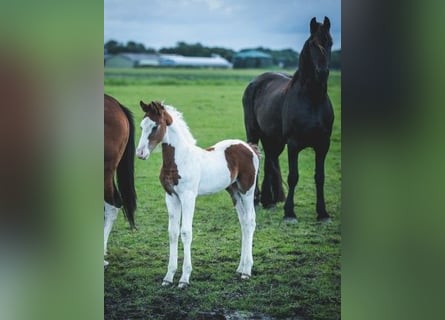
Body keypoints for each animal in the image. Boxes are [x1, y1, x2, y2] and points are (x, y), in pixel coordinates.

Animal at [137, 100, 258, 288]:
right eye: (142, 126)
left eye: (155, 126)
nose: (140, 153)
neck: (179, 159)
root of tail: (249, 147)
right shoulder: (171, 197)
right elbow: (172, 233)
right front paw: (168, 277)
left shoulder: (188, 197)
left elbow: (186, 232)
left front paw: (184, 279)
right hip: (234, 192)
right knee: (244, 223)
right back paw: (240, 268)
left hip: (247, 190)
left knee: (251, 222)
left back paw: (247, 271)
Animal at [243, 16, 332, 222]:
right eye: (313, 44)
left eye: (330, 42)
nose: (322, 72)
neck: (312, 99)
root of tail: (256, 81)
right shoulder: (293, 144)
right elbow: (293, 176)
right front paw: (290, 213)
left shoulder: (323, 145)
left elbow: (320, 177)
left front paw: (322, 213)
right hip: (254, 134)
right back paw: (256, 200)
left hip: (273, 140)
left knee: (269, 162)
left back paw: (268, 201)